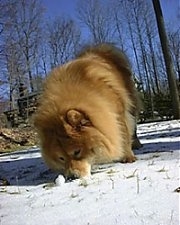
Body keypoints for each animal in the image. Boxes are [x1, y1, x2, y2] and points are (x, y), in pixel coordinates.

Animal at [34, 44, 141, 181]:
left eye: (77, 152)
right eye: (61, 158)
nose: (72, 177)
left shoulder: (118, 114)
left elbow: (124, 135)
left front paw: (128, 157)